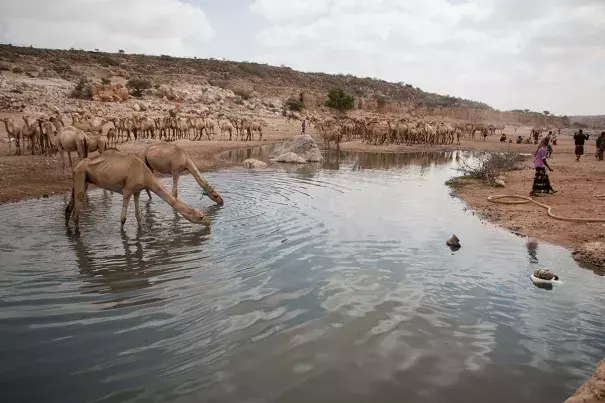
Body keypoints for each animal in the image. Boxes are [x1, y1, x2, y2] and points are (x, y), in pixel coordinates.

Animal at [65, 149, 211, 232]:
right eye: (200, 216)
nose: (208, 222)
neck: (144, 175)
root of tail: (77, 165)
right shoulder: (127, 191)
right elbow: (123, 218)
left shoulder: (137, 191)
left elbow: (138, 215)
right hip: (81, 174)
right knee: (77, 207)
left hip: (84, 179)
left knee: (69, 206)